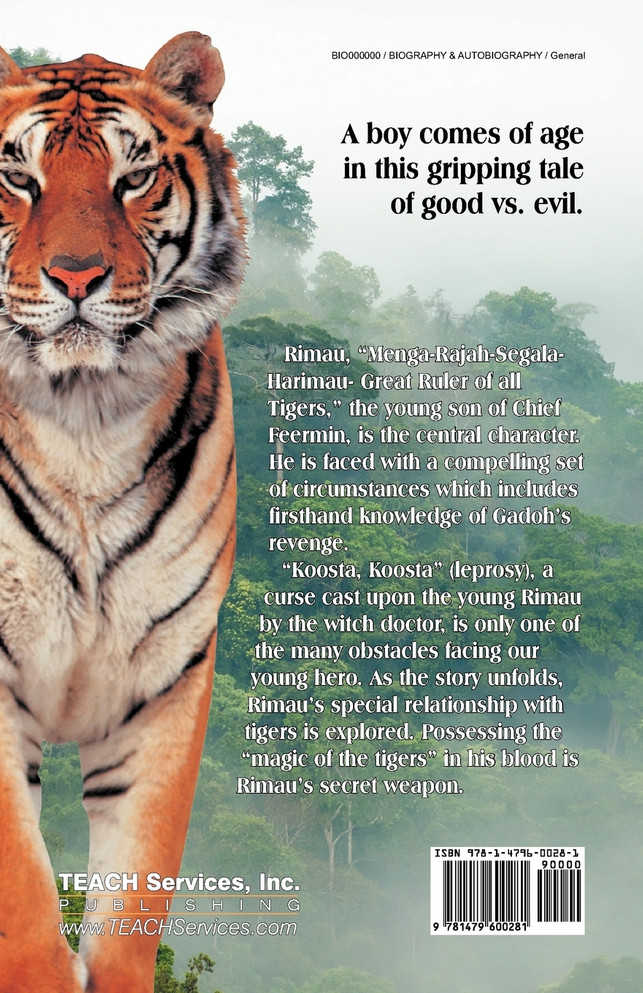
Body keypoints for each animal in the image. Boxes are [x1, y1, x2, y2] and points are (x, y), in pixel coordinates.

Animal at [0, 32, 245, 992]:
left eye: (131, 178)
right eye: (18, 176)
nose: (76, 277)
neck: (85, 417)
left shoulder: (163, 681)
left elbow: (133, 901)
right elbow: (28, 909)